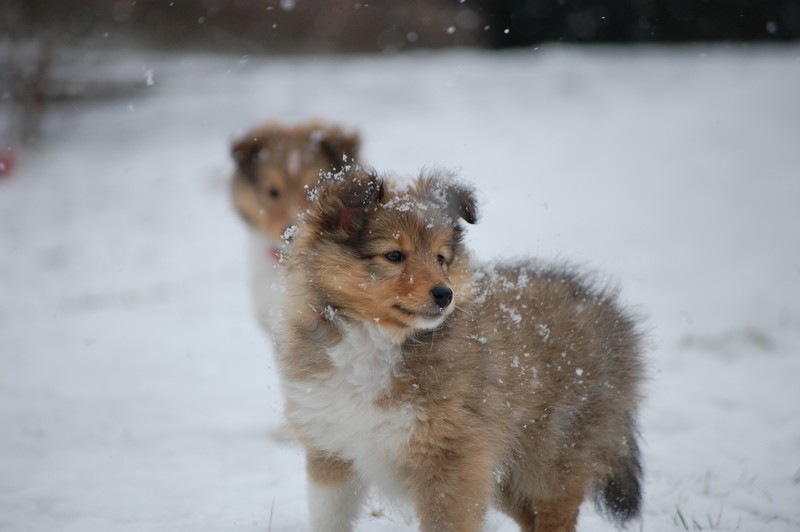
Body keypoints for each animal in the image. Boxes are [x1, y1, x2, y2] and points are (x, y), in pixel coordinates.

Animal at [276, 167, 644, 532]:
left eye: (441, 258)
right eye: (394, 255)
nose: (445, 294)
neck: (375, 342)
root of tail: (611, 314)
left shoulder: (452, 463)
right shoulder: (333, 451)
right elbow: (328, 518)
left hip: (552, 458)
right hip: (506, 473)